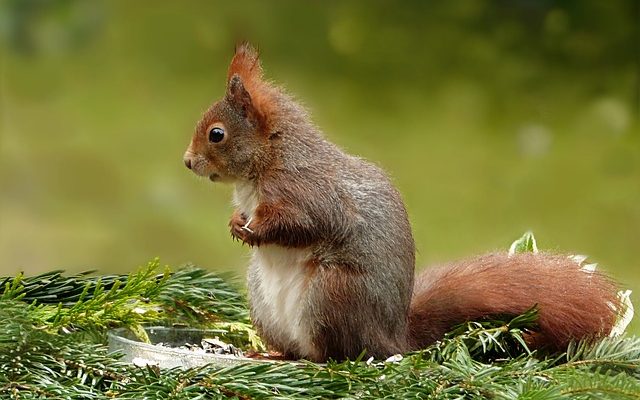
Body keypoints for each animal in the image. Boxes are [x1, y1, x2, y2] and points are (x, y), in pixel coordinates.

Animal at [182, 43, 624, 362]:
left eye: (217, 134)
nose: (187, 162)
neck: (268, 162)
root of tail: (392, 339)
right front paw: (235, 223)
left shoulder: (310, 194)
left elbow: (302, 224)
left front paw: (253, 229)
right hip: (264, 298)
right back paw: (269, 352)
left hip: (331, 293)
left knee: (334, 354)